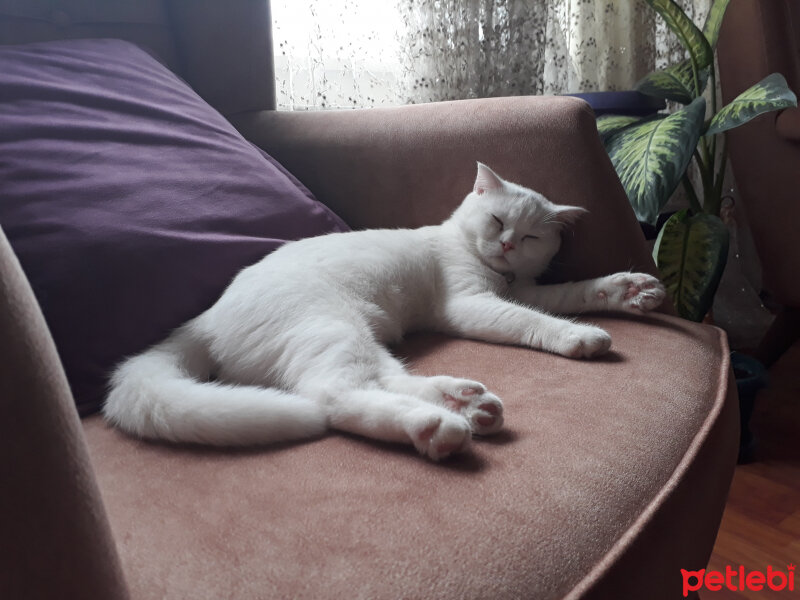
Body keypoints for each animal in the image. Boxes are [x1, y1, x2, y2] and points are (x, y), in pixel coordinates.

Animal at [106, 163, 668, 460]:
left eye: (530, 236)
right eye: (496, 220)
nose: (508, 245)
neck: (501, 275)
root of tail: (205, 317)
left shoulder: (525, 289)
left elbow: (572, 293)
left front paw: (630, 291)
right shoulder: (474, 304)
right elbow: (534, 321)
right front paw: (579, 337)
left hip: (359, 337)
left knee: (382, 380)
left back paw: (468, 404)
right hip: (333, 328)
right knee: (333, 398)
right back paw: (436, 426)